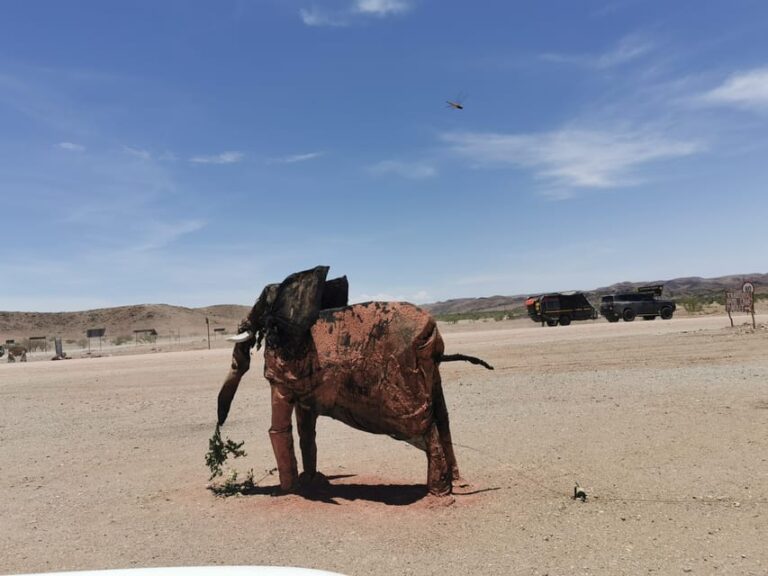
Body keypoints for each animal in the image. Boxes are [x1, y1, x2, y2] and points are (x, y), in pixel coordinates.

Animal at [216, 266, 493, 497]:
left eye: (262, 303)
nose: (219, 432)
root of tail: (432, 335)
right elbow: (306, 430)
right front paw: (310, 482)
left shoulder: (282, 365)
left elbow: (279, 428)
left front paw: (290, 491)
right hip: (431, 374)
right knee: (443, 420)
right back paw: (457, 483)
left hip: (405, 387)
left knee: (428, 427)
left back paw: (438, 494)